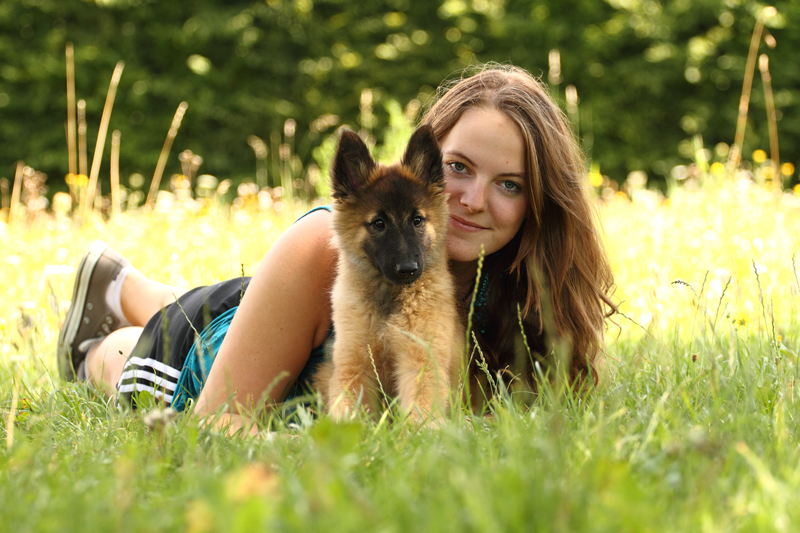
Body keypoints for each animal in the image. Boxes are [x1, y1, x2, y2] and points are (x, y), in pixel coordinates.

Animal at [314, 125, 462, 424]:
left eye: (417, 220)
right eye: (379, 223)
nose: (408, 269)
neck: (388, 298)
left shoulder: (420, 361)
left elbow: (421, 409)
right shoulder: (353, 364)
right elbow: (346, 411)